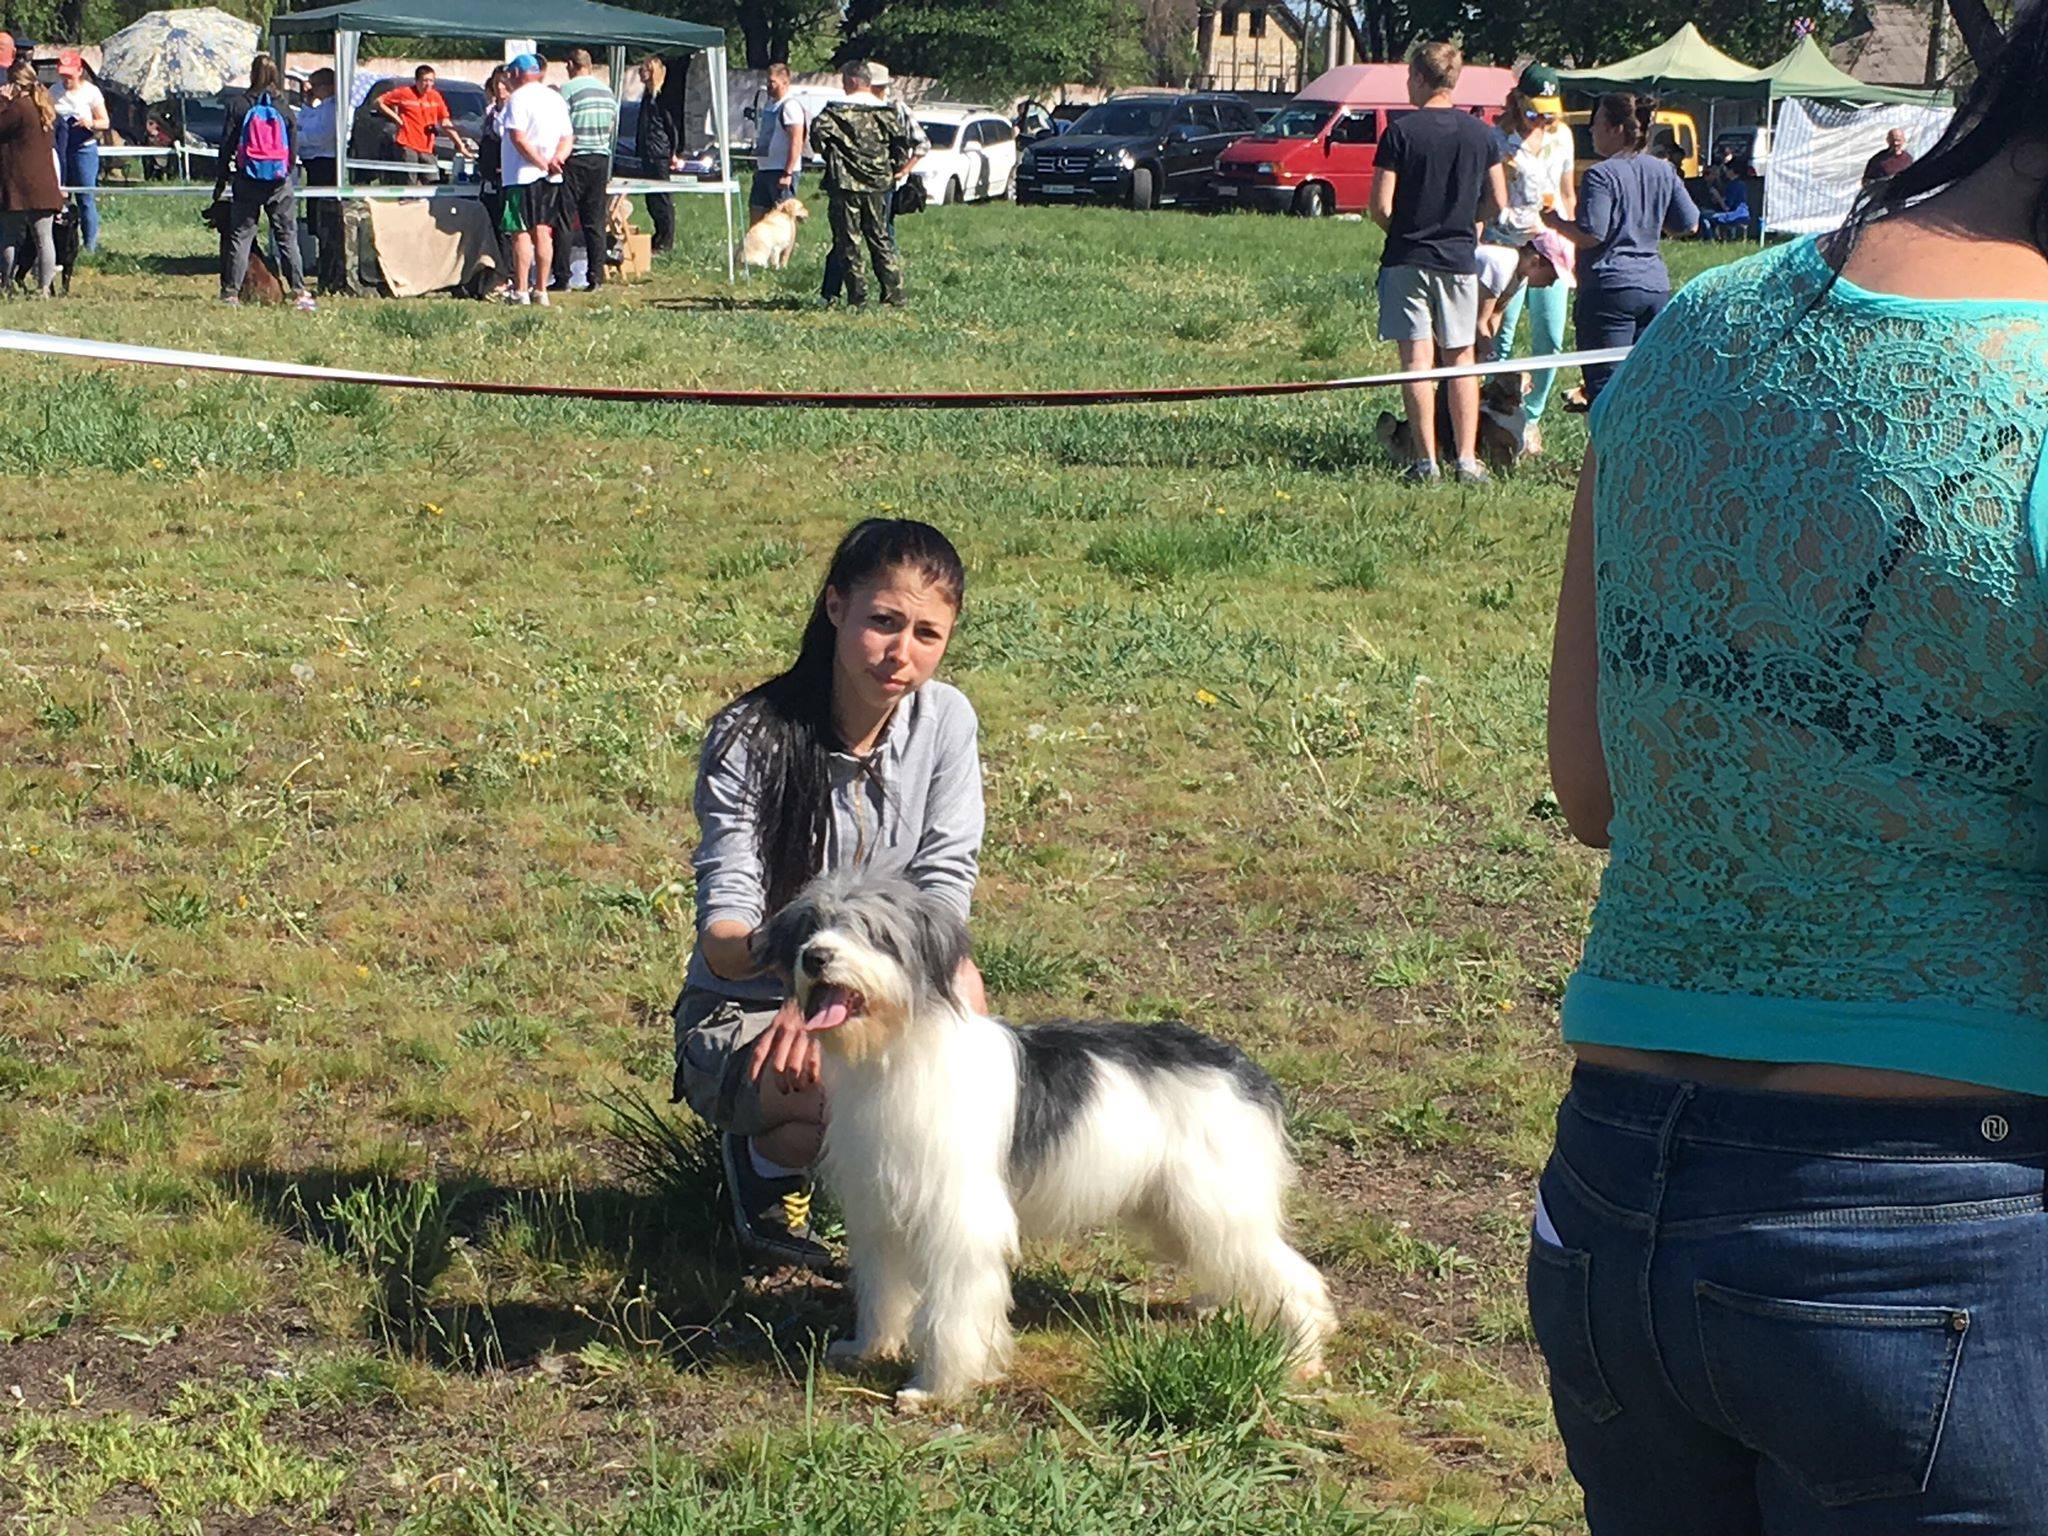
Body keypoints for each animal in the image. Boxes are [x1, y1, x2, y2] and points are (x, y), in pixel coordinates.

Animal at [753, 873, 1336, 1409]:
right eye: (811, 925)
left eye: (873, 932)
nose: (816, 957)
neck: (899, 1052)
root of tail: (1244, 1071)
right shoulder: (880, 1212)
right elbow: (883, 1289)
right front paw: (868, 1348)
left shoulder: (960, 1218)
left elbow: (952, 1311)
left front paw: (938, 1388)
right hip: (1176, 1209)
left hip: (1217, 1202)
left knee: (1296, 1278)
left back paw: (1301, 1357)